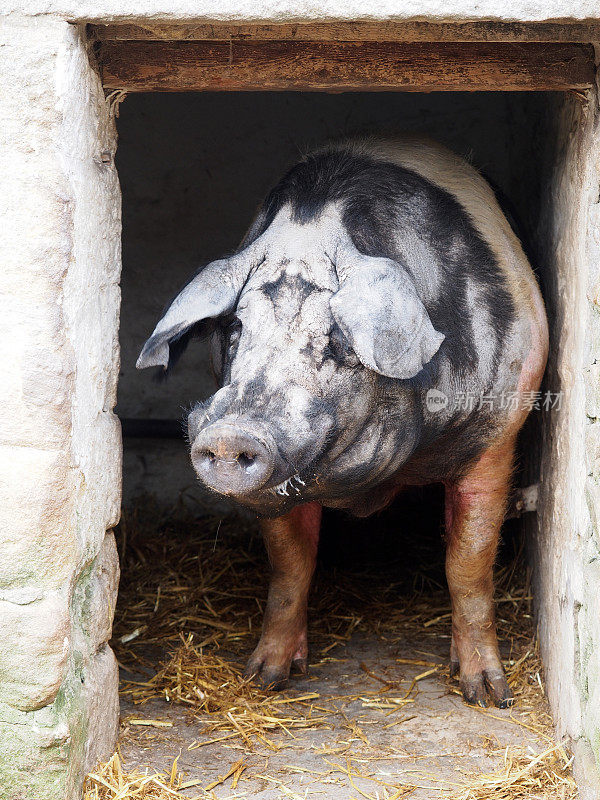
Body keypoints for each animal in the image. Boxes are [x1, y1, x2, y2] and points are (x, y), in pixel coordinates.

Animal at [137, 136, 548, 708]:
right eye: (237, 328)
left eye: (337, 338)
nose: (231, 433)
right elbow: (291, 566)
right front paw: (263, 677)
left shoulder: (499, 427)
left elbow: (468, 563)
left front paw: (489, 695)